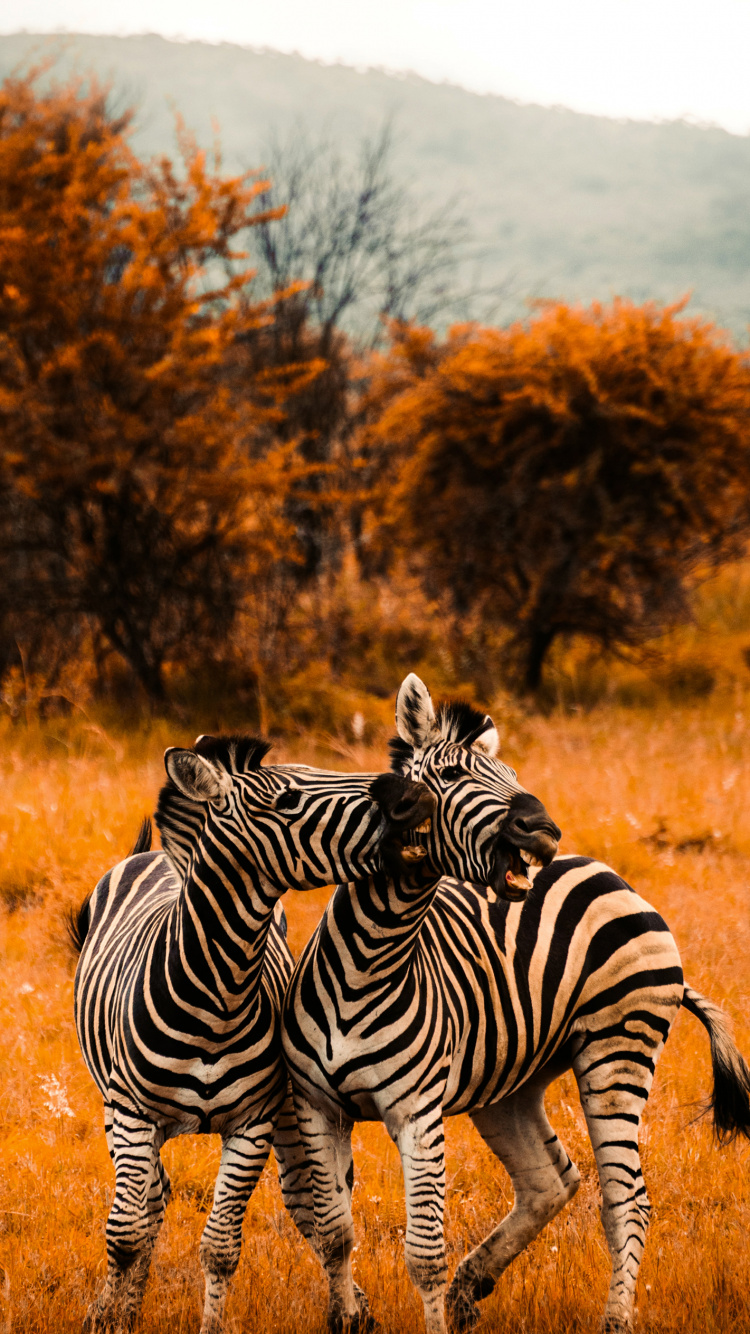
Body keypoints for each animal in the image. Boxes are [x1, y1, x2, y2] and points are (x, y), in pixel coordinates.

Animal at [70, 732, 432, 1334]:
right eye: (287, 800)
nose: (412, 797)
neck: (217, 991)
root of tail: (154, 854)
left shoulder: (253, 1121)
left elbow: (220, 1247)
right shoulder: (133, 1113)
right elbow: (124, 1235)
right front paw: (109, 1316)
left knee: (306, 1203)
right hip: (117, 1110)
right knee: (148, 1203)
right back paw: (120, 1306)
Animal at [282, 673, 750, 1334]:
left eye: (509, 771)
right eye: (451, 774)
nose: (543, 828)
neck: (369, 961)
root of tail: (614, 876)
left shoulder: (417, 1111)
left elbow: (422, 1251)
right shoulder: (317, 1105)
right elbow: (333, 1232)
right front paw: (348, 1319)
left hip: (616, 1052)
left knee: (626, 1202)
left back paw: (614, 1318)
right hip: (511, 1081)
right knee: (550, 1180)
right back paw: (471, 1287)